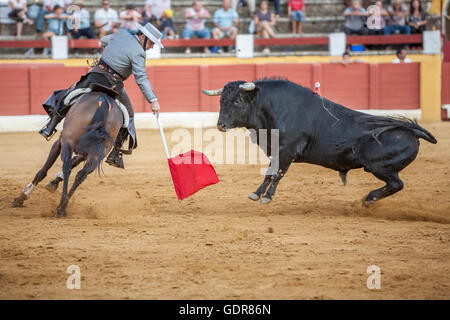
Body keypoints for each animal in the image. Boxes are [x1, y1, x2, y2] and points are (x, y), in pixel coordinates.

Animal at [11, 91, 124, 219]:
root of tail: (104, 103)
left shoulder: (59, 142)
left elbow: (43, 171)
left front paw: (21, 197)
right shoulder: (85, 153)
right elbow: (75, 163)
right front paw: (53, 184)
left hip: (68, 142)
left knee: (67, 167)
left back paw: (60, 208)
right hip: (98, 153)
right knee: (81, 175)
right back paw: (63, 207)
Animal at [202, 79, 438, 205]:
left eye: (237, 101)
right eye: (221, 100)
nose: (221, 125)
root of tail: (412, 131)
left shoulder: (287, 150)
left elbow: (277, 173)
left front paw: (267, 196)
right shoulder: (277, 150)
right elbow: (270, 172)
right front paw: (257, 194)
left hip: (380, 167)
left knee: (397, 184)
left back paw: (369, 198)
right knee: (395, 185)